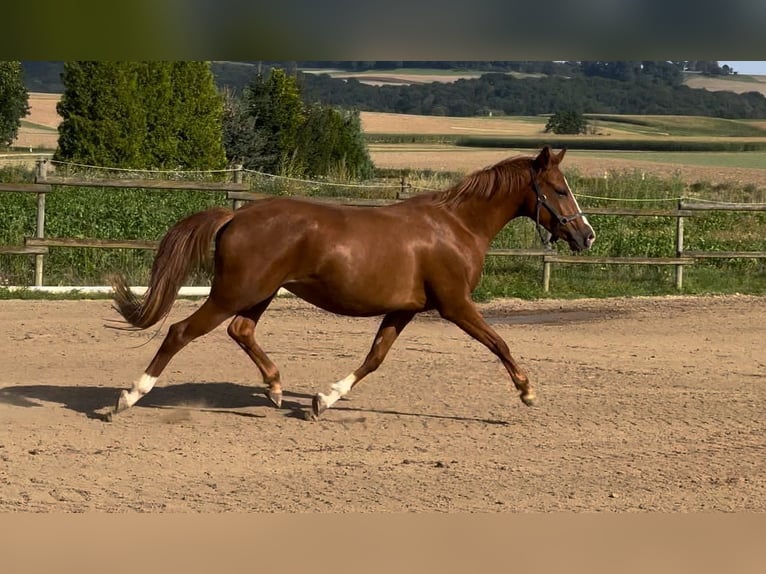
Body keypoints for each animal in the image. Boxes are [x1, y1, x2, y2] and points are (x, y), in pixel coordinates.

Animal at [108, 146, 596, 420]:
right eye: (559, 189)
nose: (587, 235)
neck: (457, 226)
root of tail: (234, 215)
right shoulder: (455, 304)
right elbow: (499, 343)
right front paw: (528, 392)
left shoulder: (404, 309)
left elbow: (375, 358)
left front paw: (323, 400)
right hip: (235, 292)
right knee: (180, 332)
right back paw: (129, 397)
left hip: (259, 293)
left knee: (240, 331)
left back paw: (276, 389)